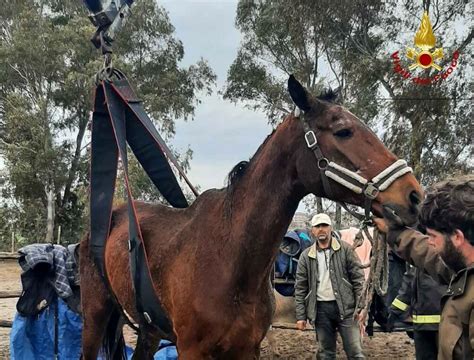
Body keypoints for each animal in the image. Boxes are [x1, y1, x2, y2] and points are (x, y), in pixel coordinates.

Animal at [79, 74, 424, 358]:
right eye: (343, 131)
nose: (413, 195)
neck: (230, 258)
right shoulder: (191, 350)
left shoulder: (246, 349)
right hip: (95, 316)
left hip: (149, 332)